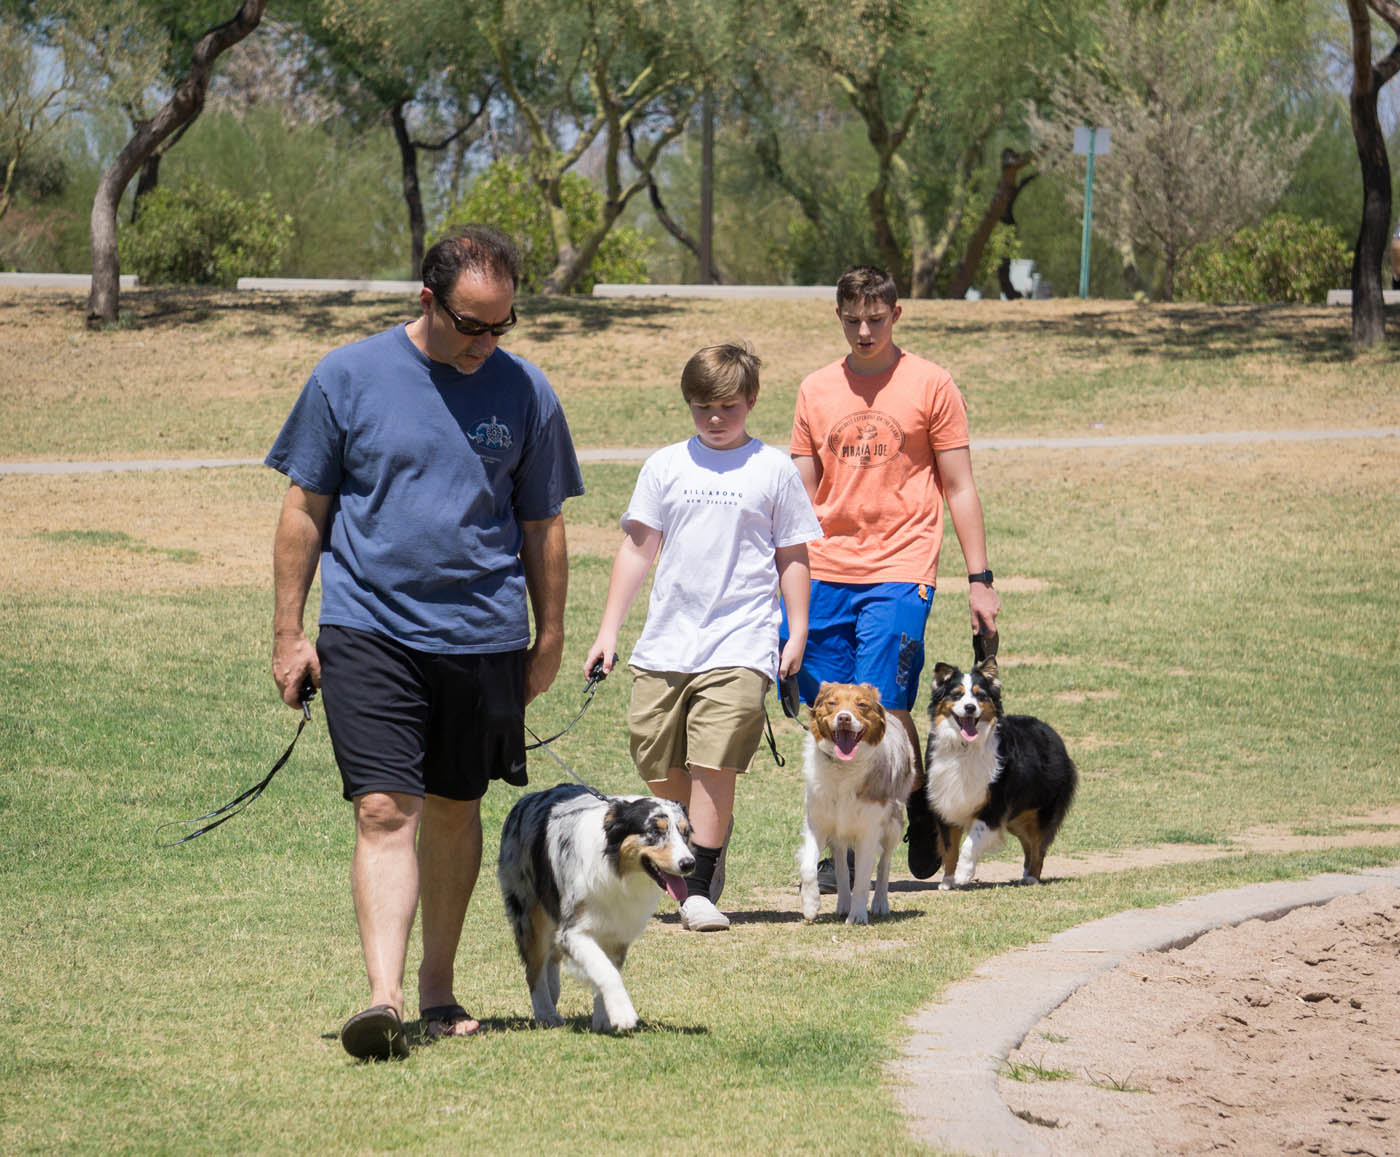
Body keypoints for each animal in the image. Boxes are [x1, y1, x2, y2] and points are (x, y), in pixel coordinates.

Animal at [498, 778, 694, 1030]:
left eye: (685, 832)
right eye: (654, 831)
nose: (689, 863)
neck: (617, 871)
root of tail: (526, 798)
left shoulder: (617, 933)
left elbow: (607, 970)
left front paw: (604, 1020)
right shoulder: (573, 932)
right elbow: (607, 972)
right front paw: (623, 1014)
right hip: (529, 912)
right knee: (534, 970)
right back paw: (546, 1013)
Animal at [800, 686, 918, 918]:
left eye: (862, 704)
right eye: (832, 703)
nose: (844, 718)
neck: (843, 767)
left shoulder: (869, 830)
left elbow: (863, 877)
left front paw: (857, 915)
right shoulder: (817, 823)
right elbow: (809, 867)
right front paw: (810, 905)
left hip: (893, 825)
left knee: (884, 865)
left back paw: (880, 904)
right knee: (842, 866)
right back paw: (843, 903)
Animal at [924, 652, 1075, 890]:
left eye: (980, 696)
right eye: (957, 695)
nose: (970, 708)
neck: (964, 747)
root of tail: (1052, 732)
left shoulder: (992, 807)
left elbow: (969, 844)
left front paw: (963, 875)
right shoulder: (946, 804)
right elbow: (950, 850)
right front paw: (948, 881)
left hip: (1041, 811)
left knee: (1038, 846)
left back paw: (1032, 877)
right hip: (1018, 817)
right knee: (1028, 844)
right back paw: (1025, 874)